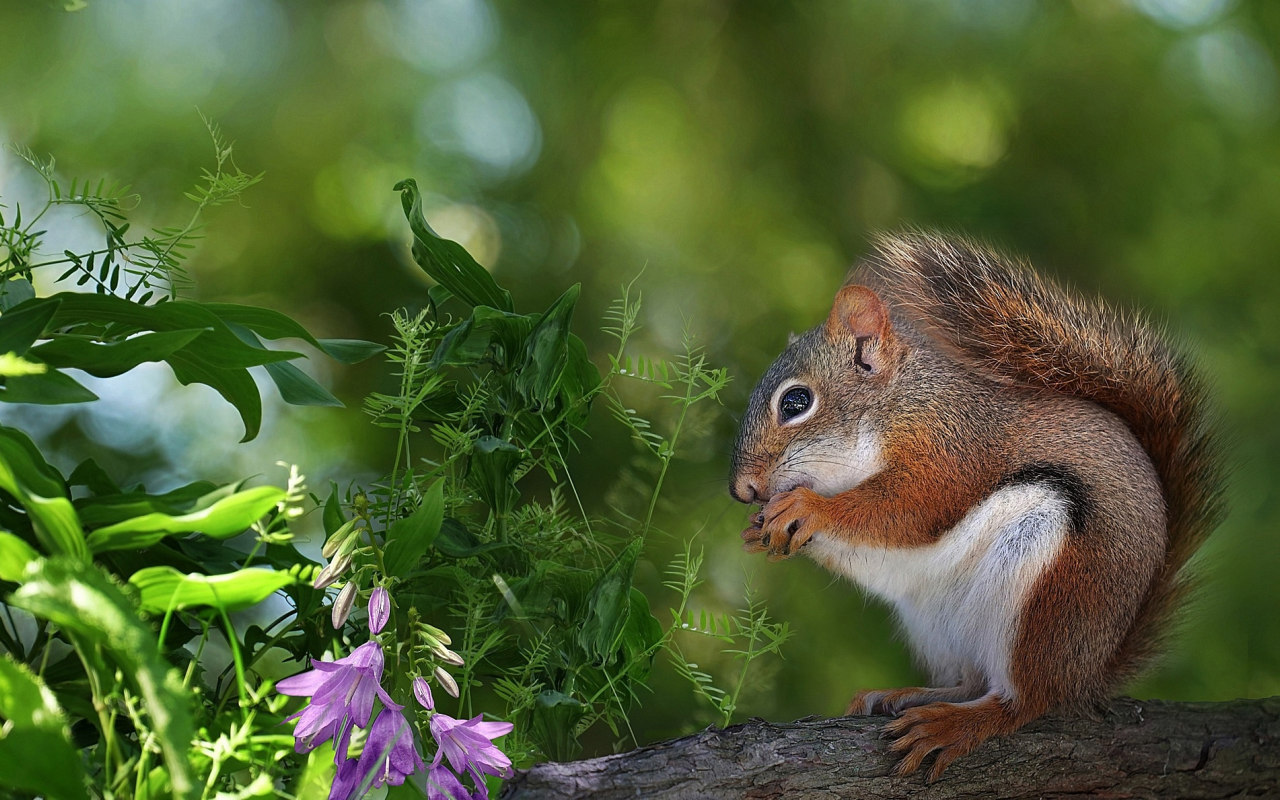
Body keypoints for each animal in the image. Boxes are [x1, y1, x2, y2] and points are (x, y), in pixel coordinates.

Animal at [732, 230, 1218, 778]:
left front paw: (808, 508)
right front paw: (758, 530)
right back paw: (906, 696)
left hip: (1049, 590)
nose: (742, 489)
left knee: (1022, 699)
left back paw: (956, 724)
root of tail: (1089, 671)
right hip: (935, 623)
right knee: (971, 681)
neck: (899, 403)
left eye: (795, 402)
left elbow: (912, 509)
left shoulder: (951, 448)